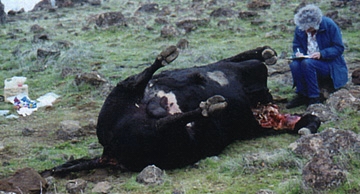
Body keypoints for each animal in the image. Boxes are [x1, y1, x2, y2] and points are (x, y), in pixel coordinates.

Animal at [40, 45, 320, 176]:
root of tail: (108, 154)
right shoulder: (238, 67)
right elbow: (247, 58)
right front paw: (267, 52)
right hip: (131, 111)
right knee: (139, 85)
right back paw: (171, 62)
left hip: (169, 140)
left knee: (161, 118)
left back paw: (207, 104)